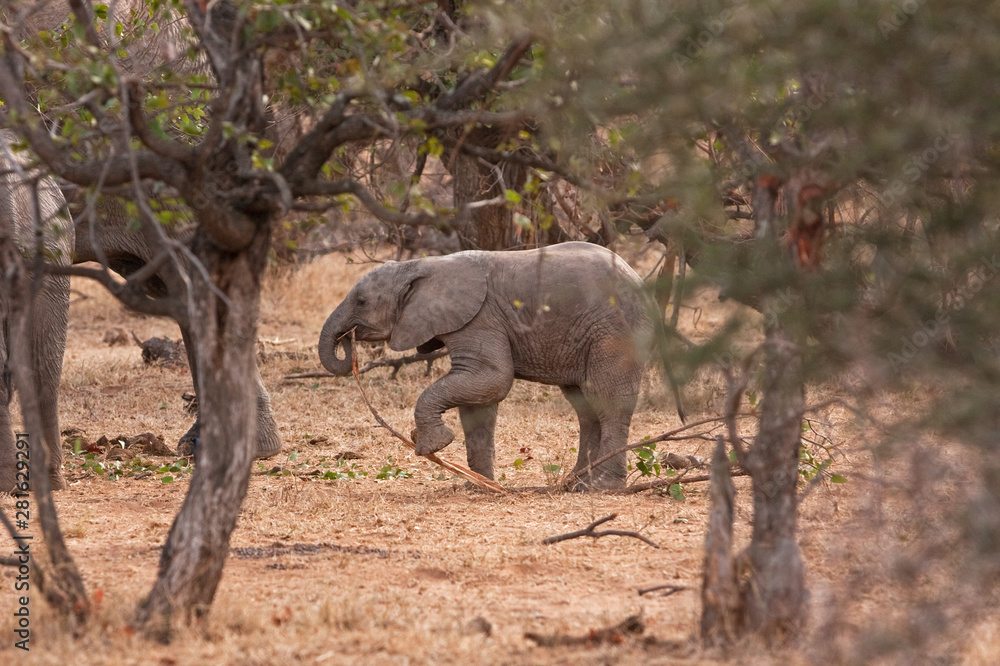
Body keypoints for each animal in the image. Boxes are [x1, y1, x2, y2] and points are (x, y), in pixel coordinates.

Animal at [318, 241, 671, 491]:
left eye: (361, 301)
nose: (348, 340)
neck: (420, 266)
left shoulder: (480, 318)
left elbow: (493, 379)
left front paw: (432, 444)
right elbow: (478, 403)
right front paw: (480, 486)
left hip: (615, 331)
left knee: (608, 401)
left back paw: (601, 487)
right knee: (586, 407)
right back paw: (577, 484)